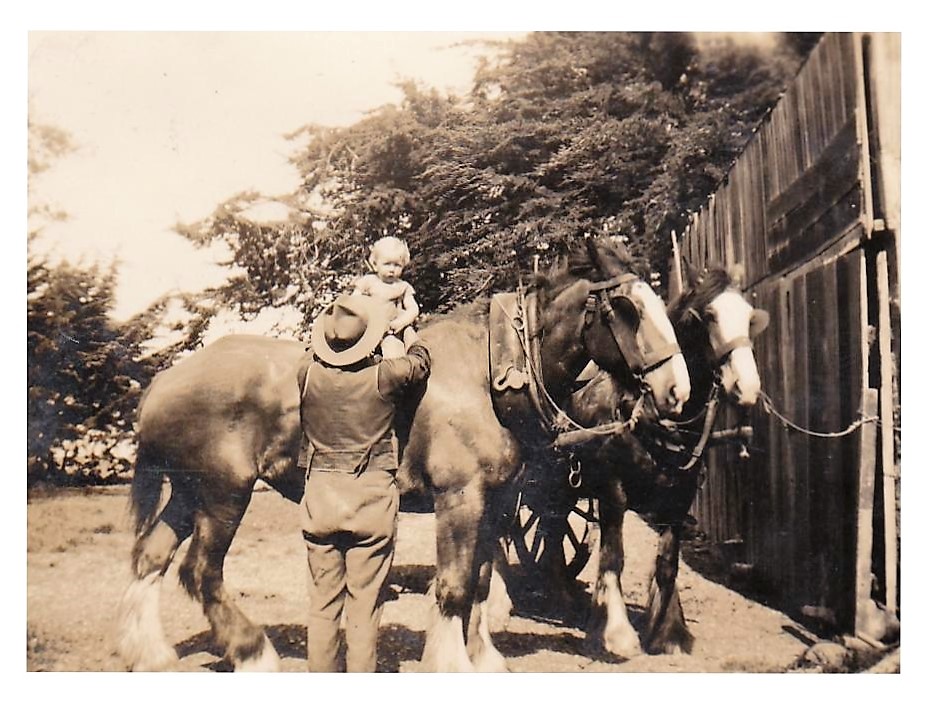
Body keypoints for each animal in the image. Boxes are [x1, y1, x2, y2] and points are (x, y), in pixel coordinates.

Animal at [116, 239, 688, 672]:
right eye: (626, 309)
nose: (676, 390)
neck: (487, 372)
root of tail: (167, 379)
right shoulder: (460, 500)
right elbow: (455, 586)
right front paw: (453, 663)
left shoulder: (497, 502)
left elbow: (481, 580)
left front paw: (483, 656)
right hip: (224, 495)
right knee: (201, 572)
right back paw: (253, 653)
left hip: (189, 492)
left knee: (152, 557)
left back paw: (150, 654)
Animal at [564, 264, 768, 660]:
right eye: (709, 316)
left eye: (748, 317)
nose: (748, 387)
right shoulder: (613, 492)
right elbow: (613, 557)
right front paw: (613, 632)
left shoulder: (680, 497)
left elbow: (668, 563)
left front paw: (668, 631)